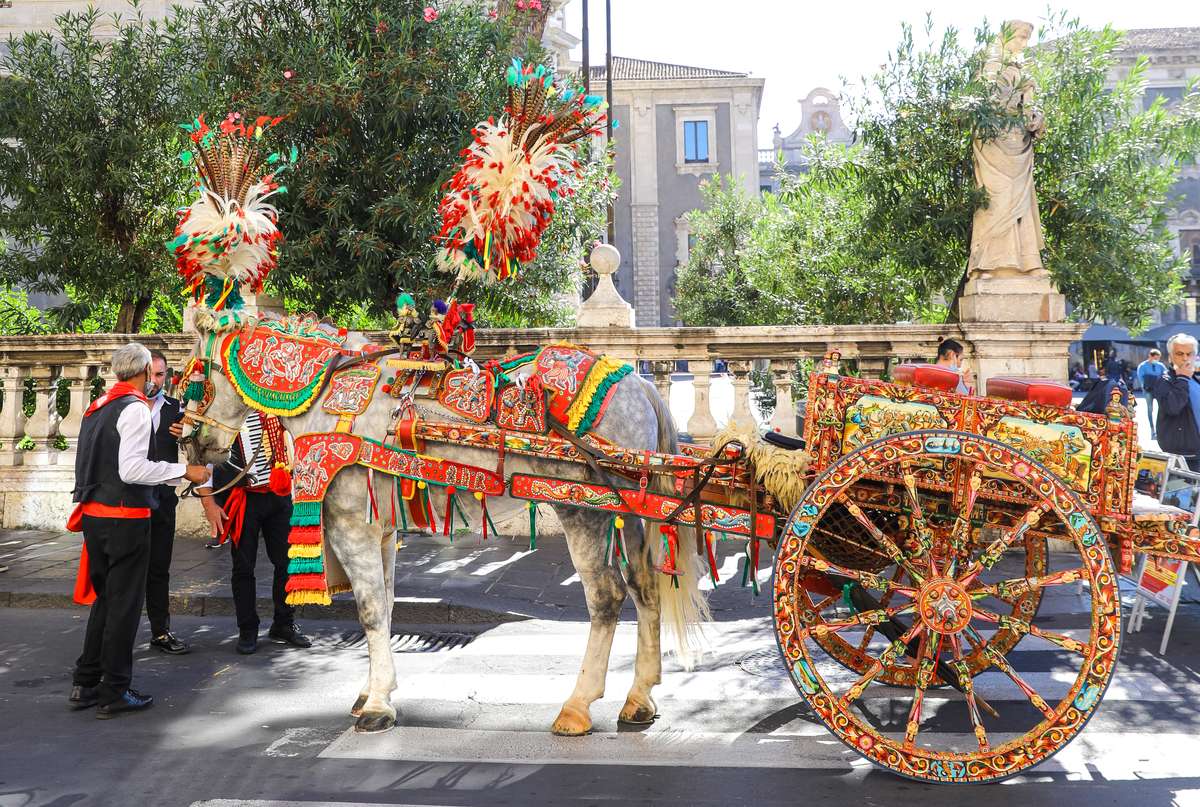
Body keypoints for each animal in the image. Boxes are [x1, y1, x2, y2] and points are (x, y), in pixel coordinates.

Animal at [182, 319, 705, 730]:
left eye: (196, 377)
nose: (190, 445)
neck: (329, 398)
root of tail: (640, 385)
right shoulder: (382, 531)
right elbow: (388, 605)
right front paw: (373, 691)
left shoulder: (352, 528)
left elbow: (370, 611)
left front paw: (376, 704)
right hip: (630, 510)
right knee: (645, 588)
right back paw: (639, 698)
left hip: (585, 510)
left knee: (606, 596)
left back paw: (577, 707)